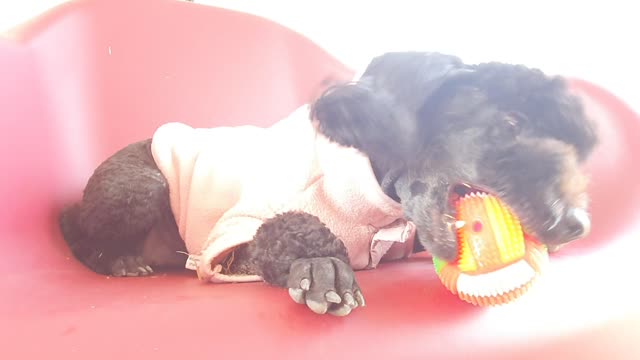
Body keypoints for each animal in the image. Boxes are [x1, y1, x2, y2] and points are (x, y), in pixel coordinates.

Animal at [57, 52, 596, 316]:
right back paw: (121, 261)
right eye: (510, 122)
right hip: (141, 185)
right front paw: (323, 270)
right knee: (83, 239)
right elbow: (291, 228)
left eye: (583, 152)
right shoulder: (233, 235)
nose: (576, 225)